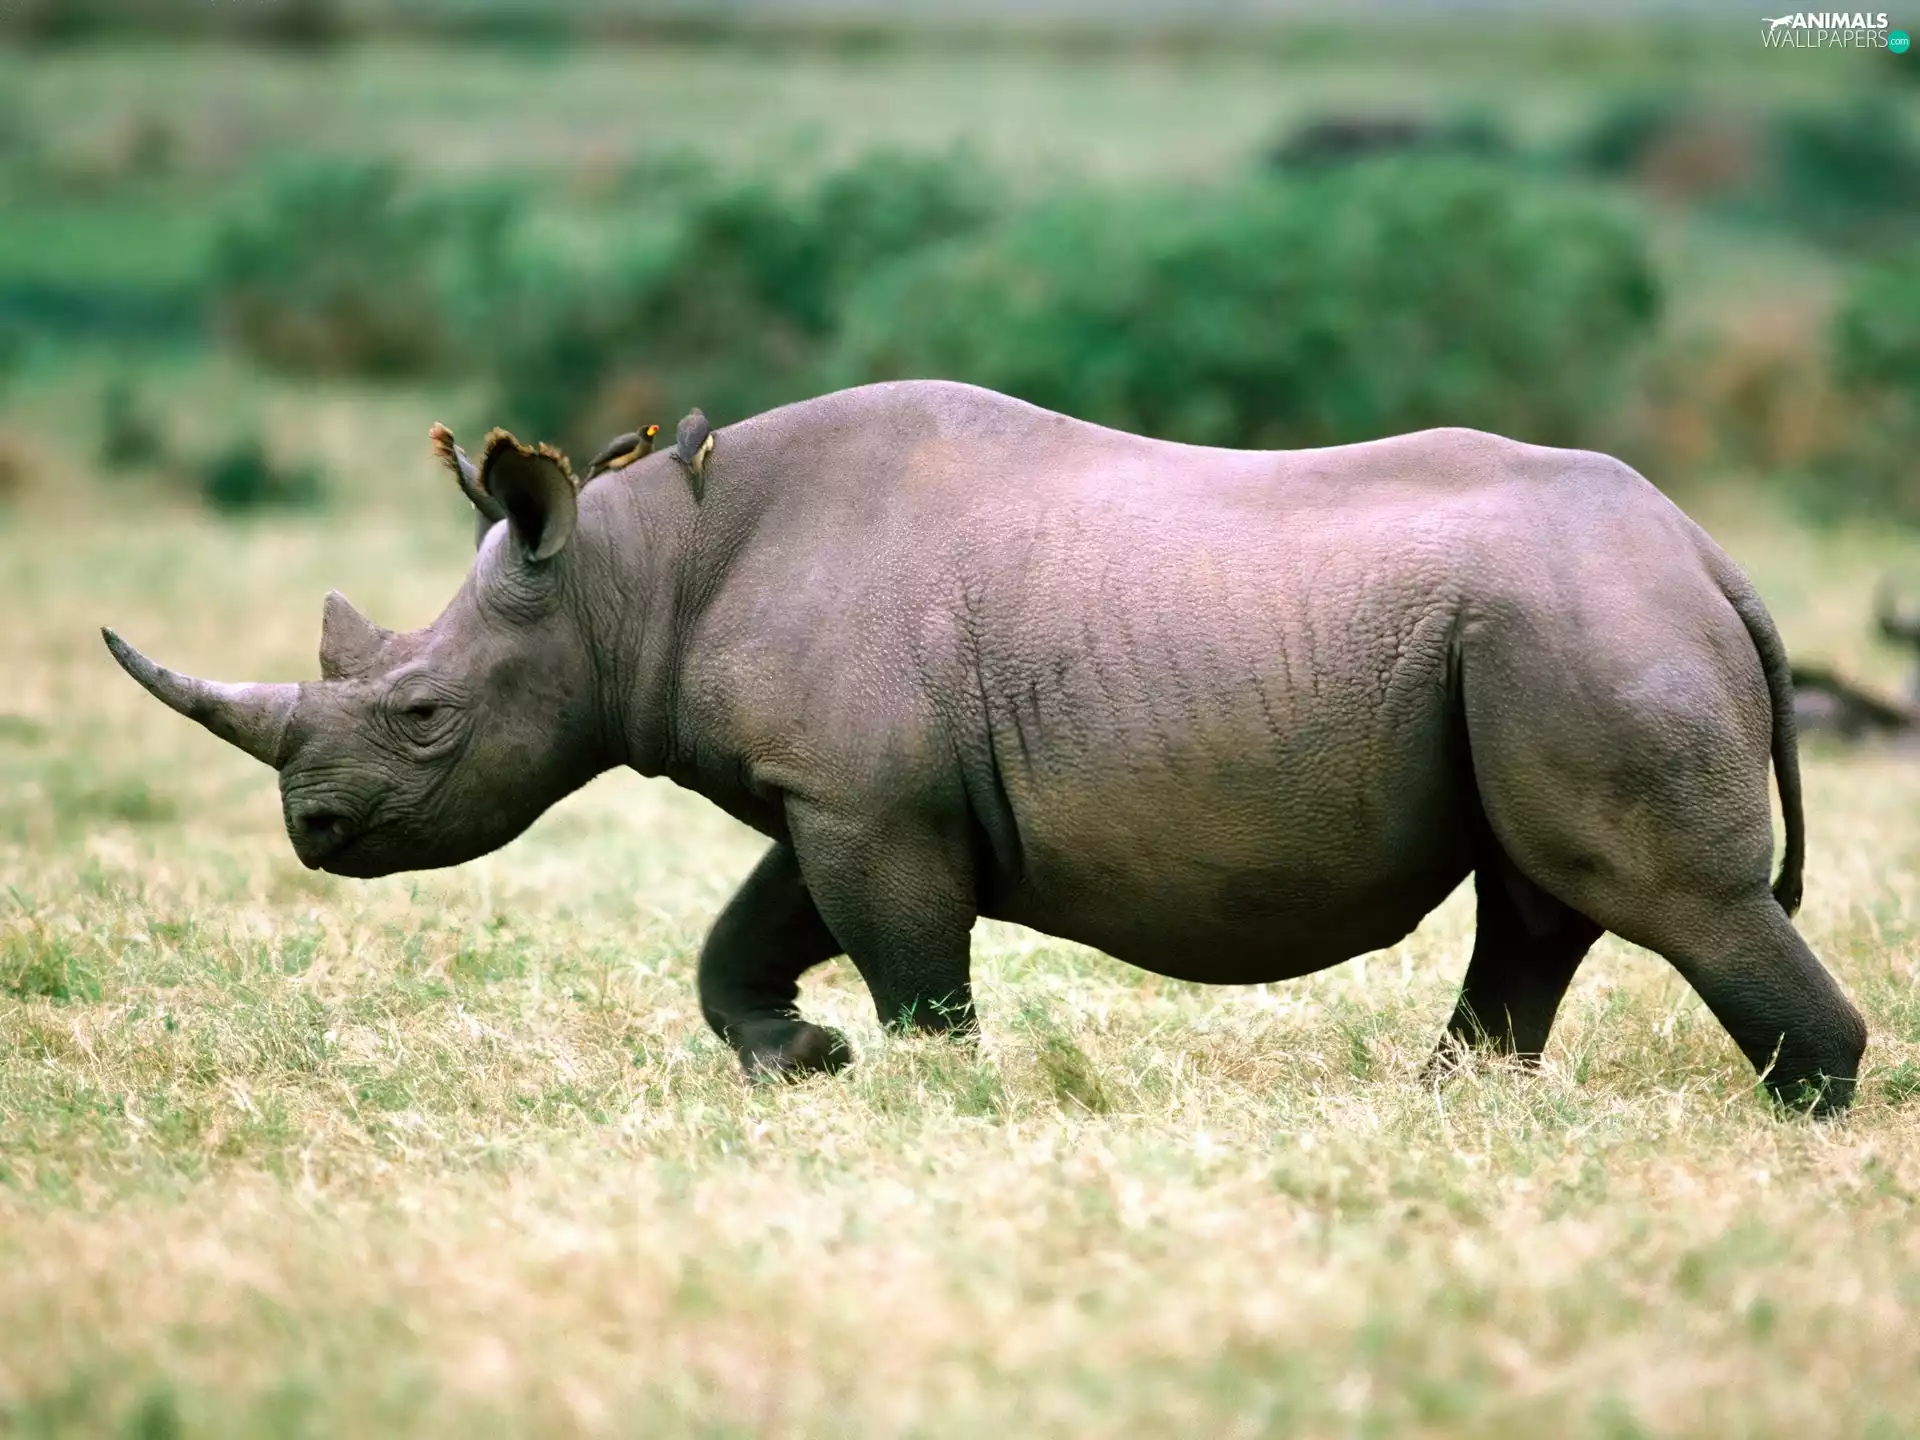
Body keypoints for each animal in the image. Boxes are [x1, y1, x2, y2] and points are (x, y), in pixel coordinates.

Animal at [104, 380, 1867, 1111]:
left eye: (421, 717)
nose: (314, 836)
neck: (631, 577)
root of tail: (1713, 556)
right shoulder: (844, 791)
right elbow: (744, 937)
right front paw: (802, 1064)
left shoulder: (869, 802)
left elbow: (912, 970)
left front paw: (933, 1096)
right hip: (1553, 630)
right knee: (1542, 900)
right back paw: (1452, 1107)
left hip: (1586, 628)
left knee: (1666, 898)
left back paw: (1805, 1118)